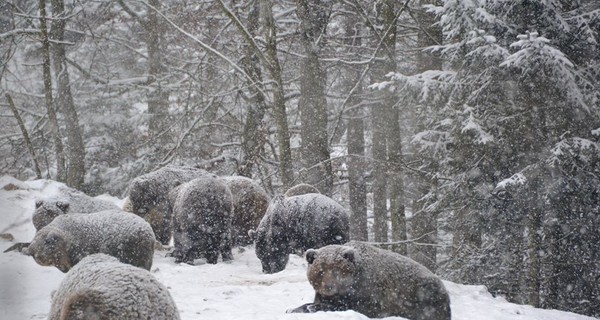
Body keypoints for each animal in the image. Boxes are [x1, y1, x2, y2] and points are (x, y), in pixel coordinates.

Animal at [290, 241, 450, 318]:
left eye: (336, 271)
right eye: (321, 271)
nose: (329, 287)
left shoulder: (372, 293)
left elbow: (360, 307)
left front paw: (313, 307)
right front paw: (294, 308)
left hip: (422, 291)